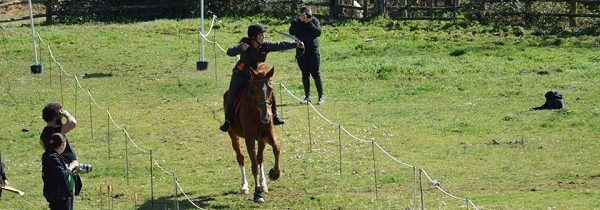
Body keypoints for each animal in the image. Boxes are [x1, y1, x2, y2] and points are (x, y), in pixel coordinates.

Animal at [224, 62, 282, 203]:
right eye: (255, 90)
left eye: (270, 89)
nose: (266, 117)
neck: (257, 112)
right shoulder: (249, 138)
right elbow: (254, 165)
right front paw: (257, 194)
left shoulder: (267, 135)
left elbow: (276, 148)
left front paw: (274, 173)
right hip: (233, 135)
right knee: (240, 158)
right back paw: (244, 186)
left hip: (261, 140)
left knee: (260, 158)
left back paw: (263, 184)